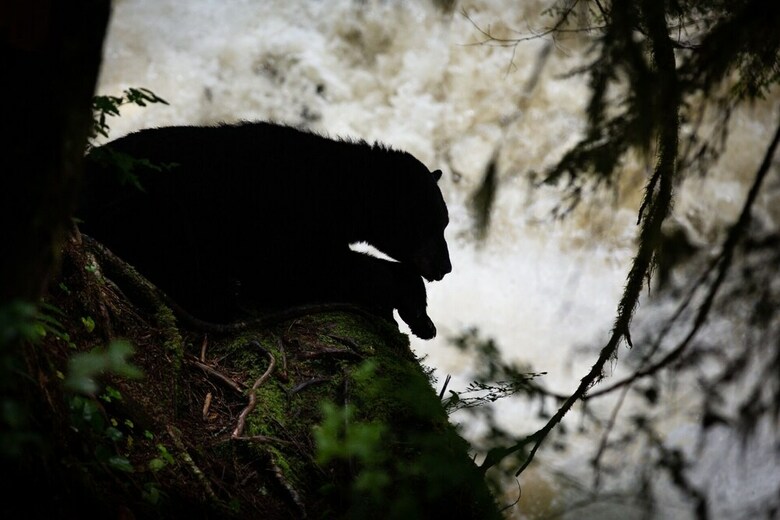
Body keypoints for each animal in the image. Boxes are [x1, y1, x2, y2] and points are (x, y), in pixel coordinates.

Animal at [77, 121, 452, 339]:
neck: (336, 190)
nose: (445, 268)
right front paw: (417, 309)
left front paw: (420, 318)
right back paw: (219, 292)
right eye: (433, 224)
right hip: (144, 198)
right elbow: (302, 268)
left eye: (444, 223)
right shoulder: (282, 218)